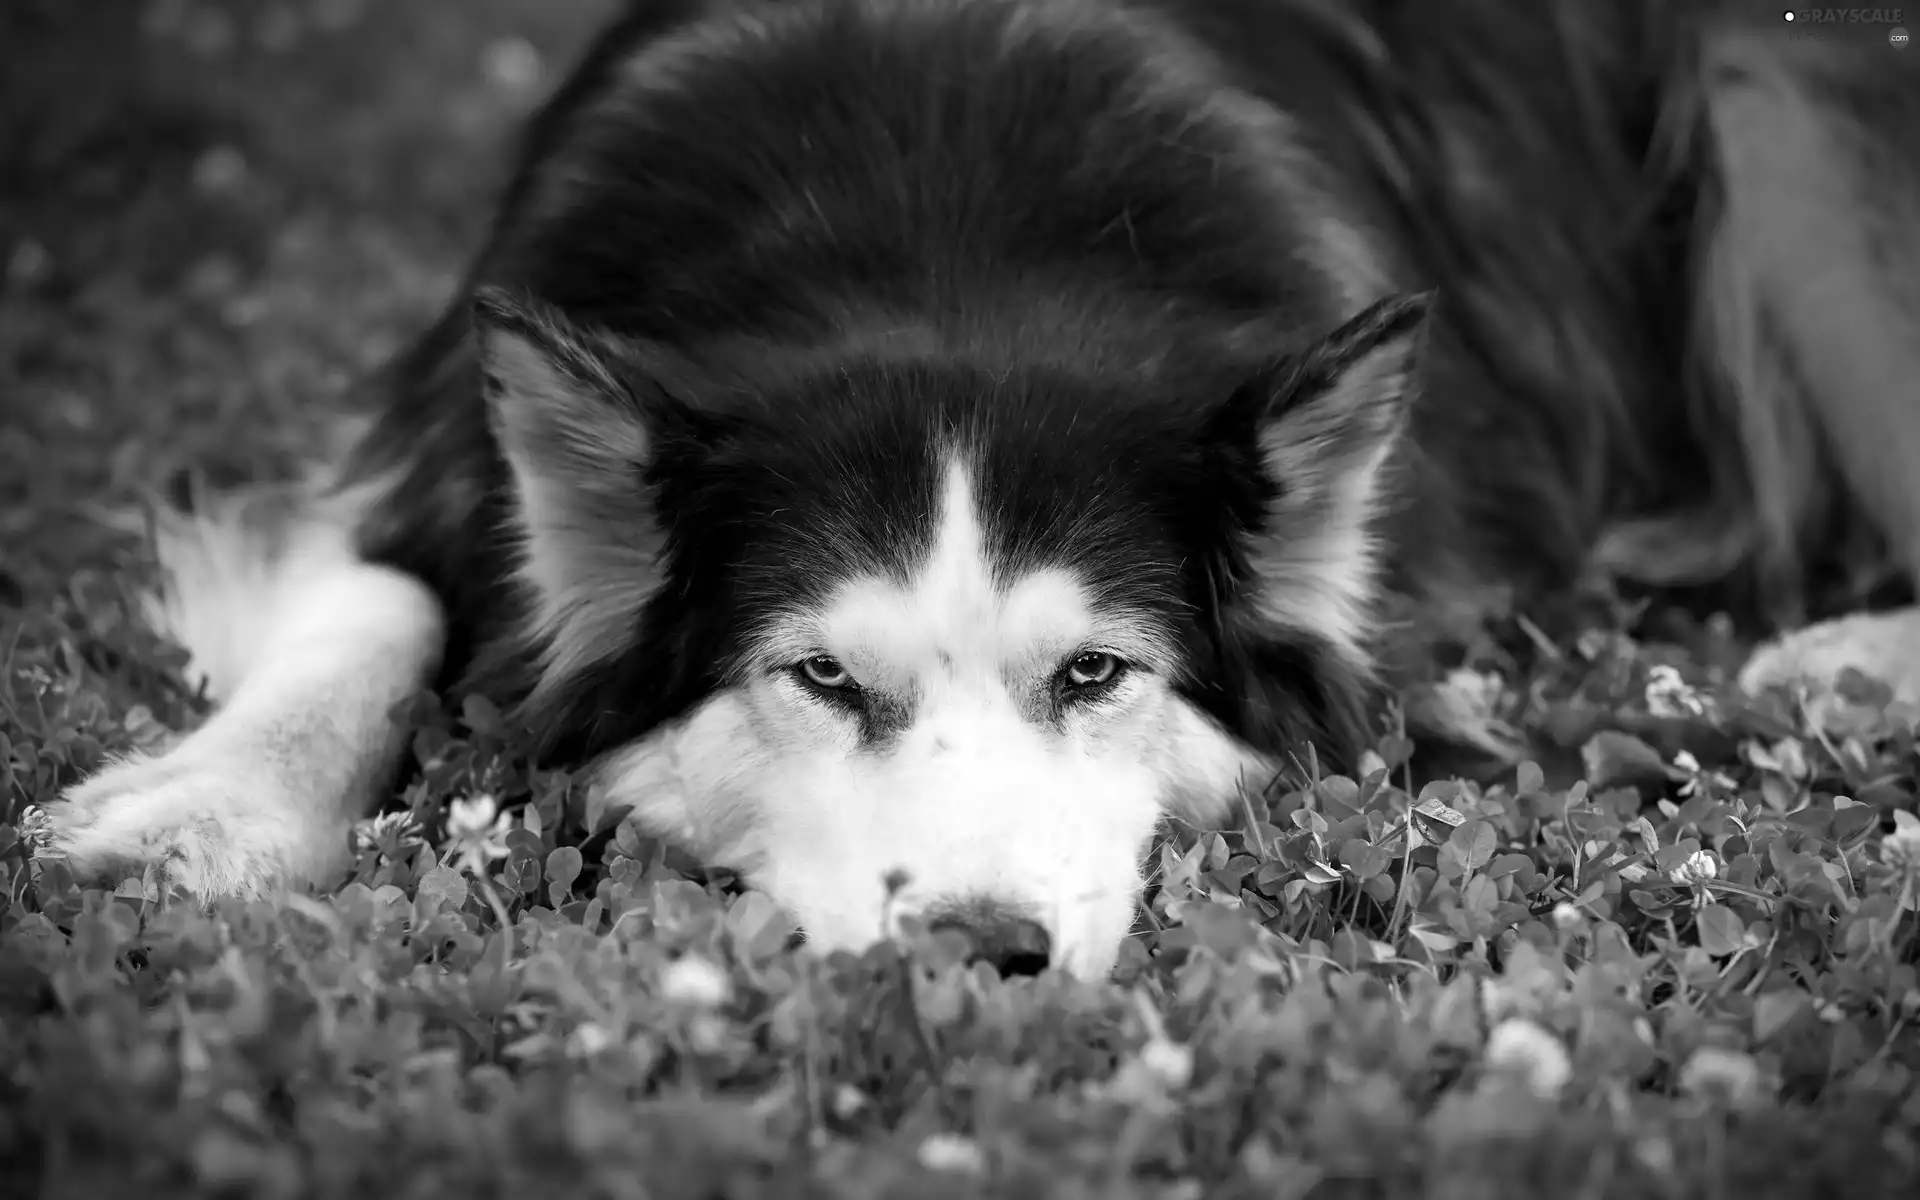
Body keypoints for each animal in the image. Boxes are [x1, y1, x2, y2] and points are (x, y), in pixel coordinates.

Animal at [37, 0, 1920, 975]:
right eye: (818, 675)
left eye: (1094, 673)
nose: (983, 954)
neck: (937, 229)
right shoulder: (426, 434)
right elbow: (376, 604)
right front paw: (200, 807)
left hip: (1783, 109)